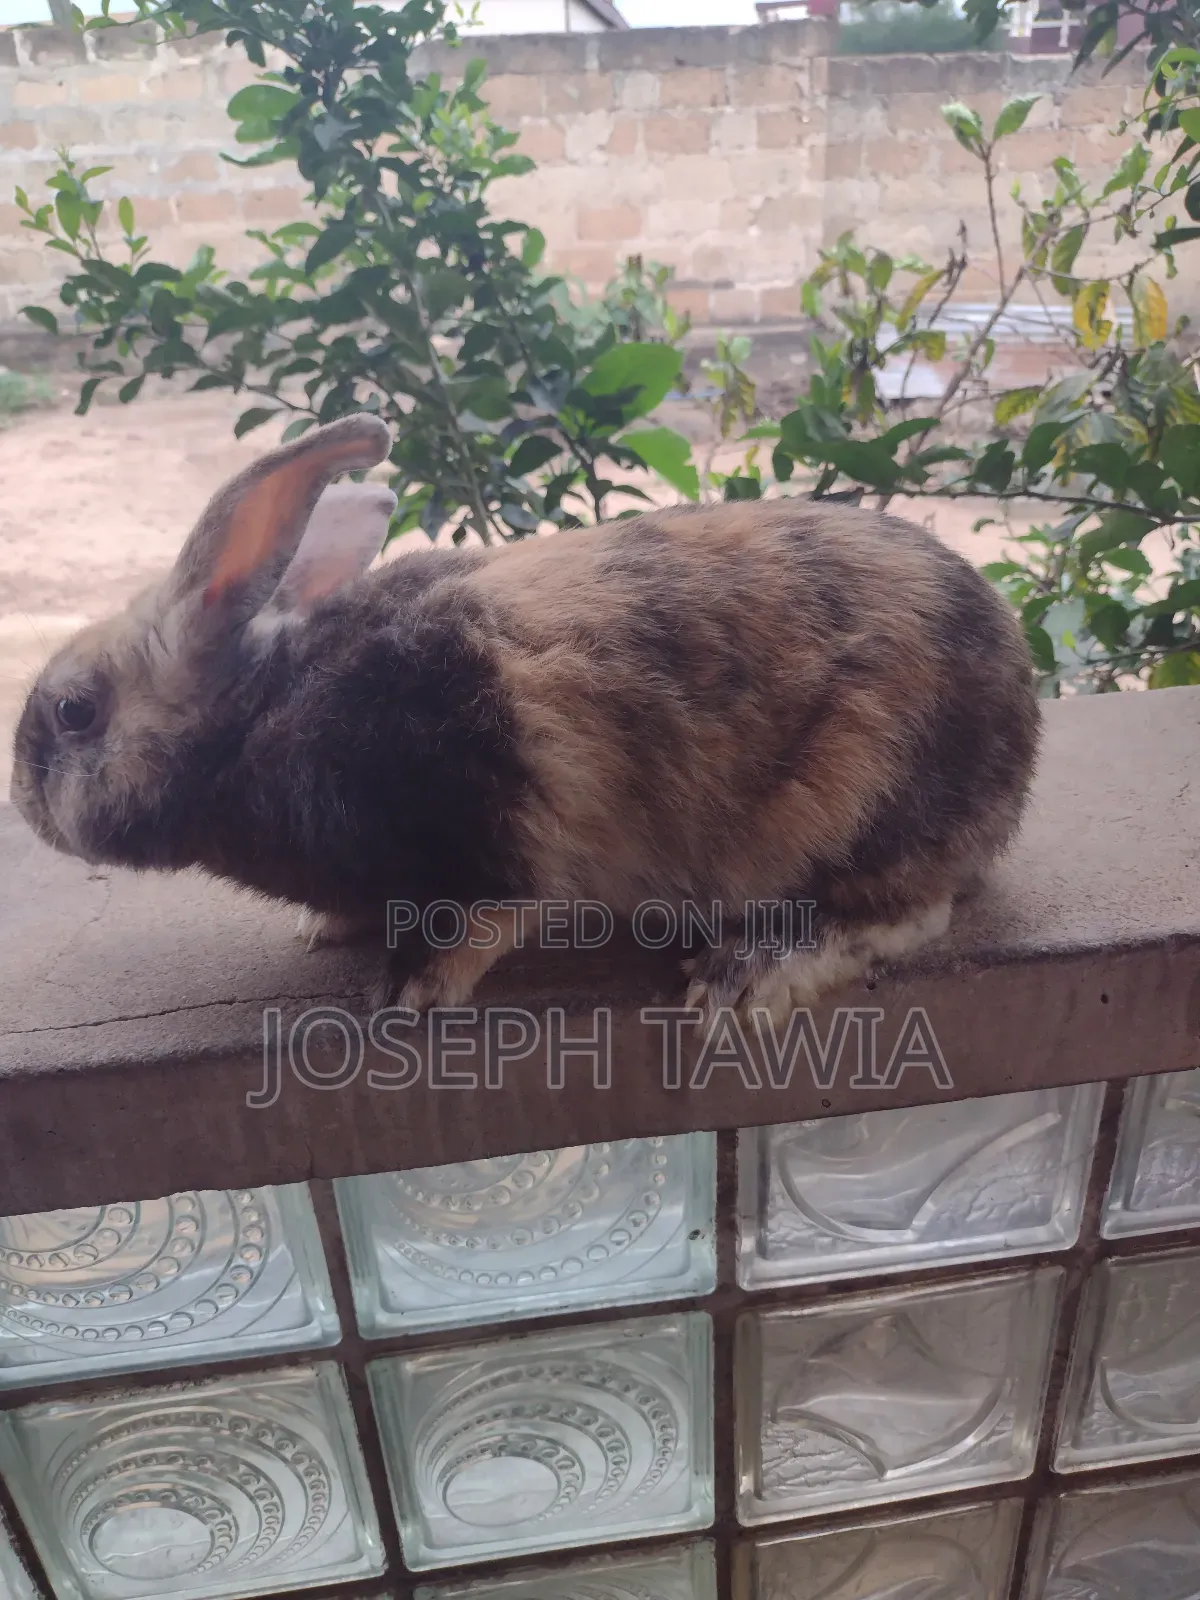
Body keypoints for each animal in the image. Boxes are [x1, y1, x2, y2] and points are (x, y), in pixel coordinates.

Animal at [10, 413, 1039, 1024]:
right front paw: (329, 930)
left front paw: (414, 993)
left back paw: (749, 972)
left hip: (868, 804)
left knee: (907, 913)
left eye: (74, 711)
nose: (22, 800)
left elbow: (487, 917)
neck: (260, 714)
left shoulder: (488, 824)